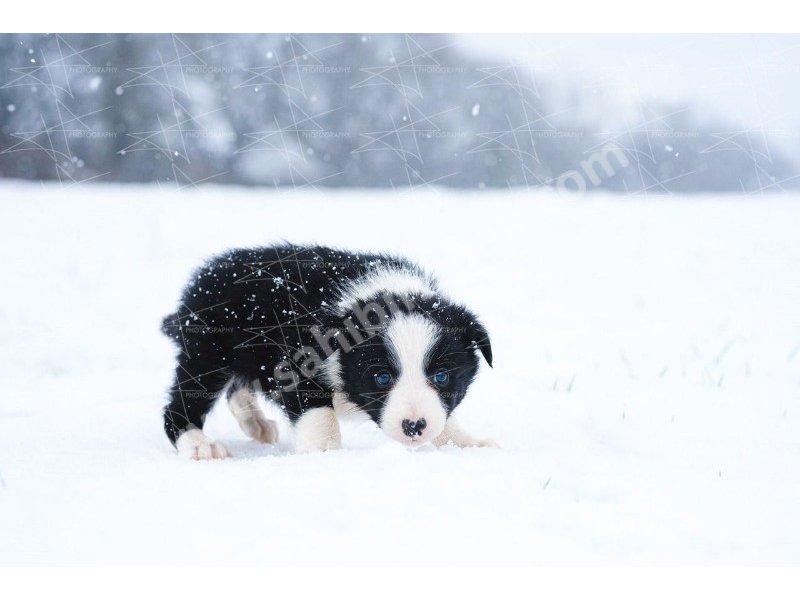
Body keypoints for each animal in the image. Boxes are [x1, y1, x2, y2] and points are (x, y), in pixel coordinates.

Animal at [162, 244, 494, 460]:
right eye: (382, 378)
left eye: (442, 377)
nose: (414, 427)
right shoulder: (297, 360)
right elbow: (318, 411)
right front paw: (324, 453)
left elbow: (445, 416)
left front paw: (465, 442)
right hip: (207, 352)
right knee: (181, 402)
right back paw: (198, 443)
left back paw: (255, 423)